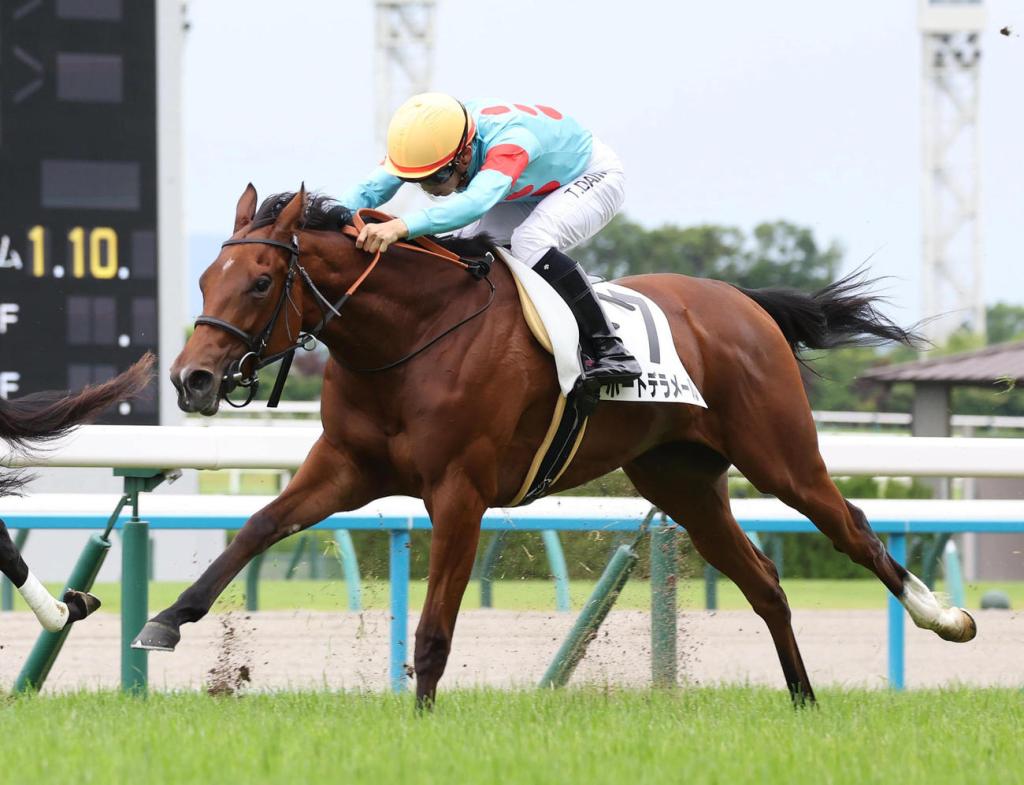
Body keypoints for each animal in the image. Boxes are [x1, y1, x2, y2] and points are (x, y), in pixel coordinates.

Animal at [133, 185, 975, 706]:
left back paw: (946, 619)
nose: (192, 379)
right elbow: (258, 526)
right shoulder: (345, 468)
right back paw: (802, 697)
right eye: (206, 277)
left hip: (781, 454)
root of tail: (745, 303)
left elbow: (436, 623)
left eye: (261, 281)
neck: (407, 336)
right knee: (764, 579)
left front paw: (421, 715)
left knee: (852, 528)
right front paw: (168, 618)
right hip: (683, 482)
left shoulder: (460, 490)